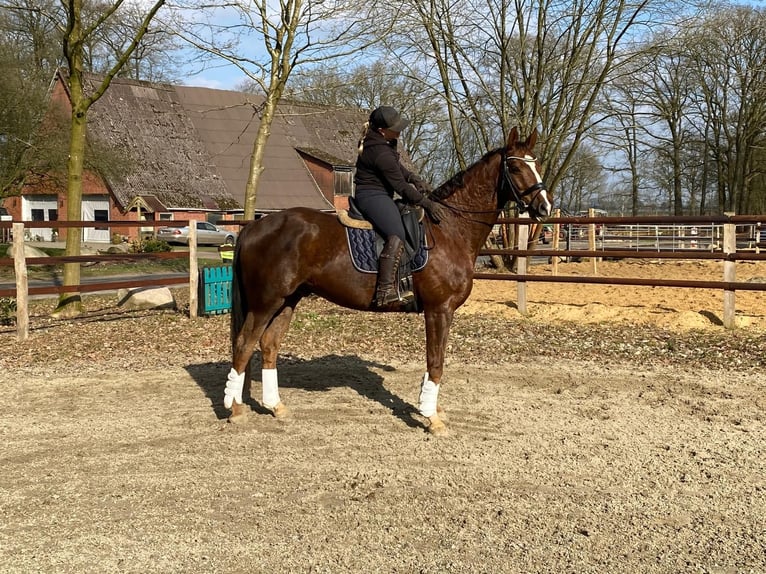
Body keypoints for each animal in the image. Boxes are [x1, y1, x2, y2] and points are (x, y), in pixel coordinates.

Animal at [225, 127, 556, 436]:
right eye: (515, 168)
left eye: (537, 163)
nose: (544, 208)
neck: (449, 229)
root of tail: (254, 226)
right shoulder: (439, 309)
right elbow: (436, 362)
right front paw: (431, 418)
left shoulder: (440, 312)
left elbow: (434, 361)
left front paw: (428, 407)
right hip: (265, 303)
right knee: (244, 344)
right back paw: (235, 409)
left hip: (288, 300)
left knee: (268, 346)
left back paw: (275, 406)